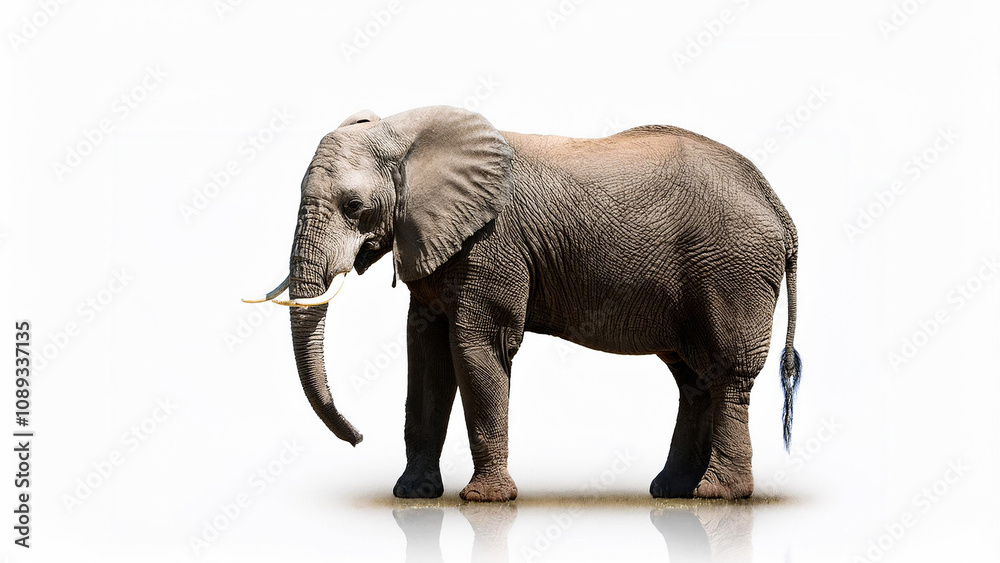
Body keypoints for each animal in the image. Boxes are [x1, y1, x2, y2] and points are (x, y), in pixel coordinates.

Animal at [243, 105, 802, 502]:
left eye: (354, 207)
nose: (359, 439)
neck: (405, 130)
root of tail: (777, 204)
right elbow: (425, 358)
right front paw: (412, 495)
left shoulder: (492, 243)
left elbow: (476, 347)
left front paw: (483, 501)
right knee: (693, 376)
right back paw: (672, 491)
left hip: (733, 272)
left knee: (726, 370)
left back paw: (718, 495)